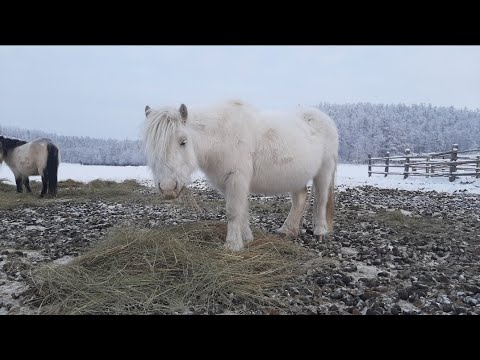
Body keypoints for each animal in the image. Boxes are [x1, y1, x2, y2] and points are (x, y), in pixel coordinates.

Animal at [142, 100, 338, 252]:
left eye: (183, 141)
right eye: (150, 146)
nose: (168, 188)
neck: (222, 136)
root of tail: (326, 119)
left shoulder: (237, 178)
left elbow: (233, 211)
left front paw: (232, 245)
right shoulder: (228, 183)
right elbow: (242, 210)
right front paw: (247, 238)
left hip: (324, 170)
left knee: (321, 199)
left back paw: (320, 232)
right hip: (294, 176)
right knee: (300, 198)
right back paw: (287, 230)